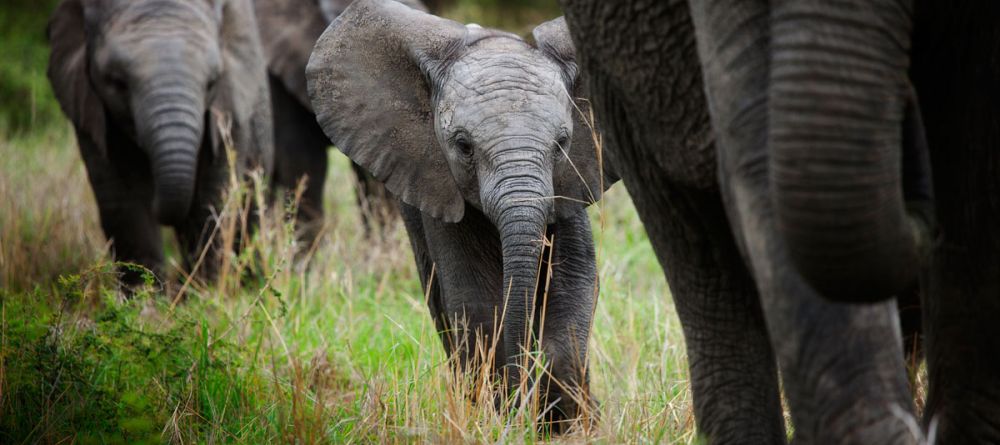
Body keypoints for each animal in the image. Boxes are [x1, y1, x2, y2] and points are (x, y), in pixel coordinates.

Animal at [47, 0, 272, 284]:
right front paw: (146, 296)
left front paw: (204, 292)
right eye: (117, 82)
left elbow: (211, 201)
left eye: (212, 82)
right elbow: (124, 206)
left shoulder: (229, 108)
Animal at [308, 0, 612, 430]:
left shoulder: (570, 183)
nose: (522, 392)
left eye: (562, 144)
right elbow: (474, 302)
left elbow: (573, 282)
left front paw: (563, 425)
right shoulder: (436, 184)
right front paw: (505, 417)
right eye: (464, 145)